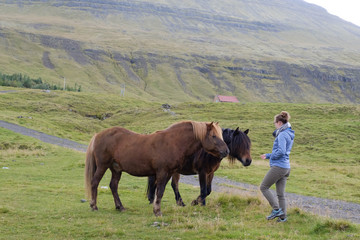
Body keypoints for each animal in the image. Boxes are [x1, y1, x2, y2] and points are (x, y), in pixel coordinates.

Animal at [84, 121, 228, 217]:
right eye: (214, 136)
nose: (226, 151)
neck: (172, 142)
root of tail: (98, 135)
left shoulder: (169, 173)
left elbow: (161, 191)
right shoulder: (162, 173)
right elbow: (160, 192)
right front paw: (157, 211)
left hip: (116, 169)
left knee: (113, 186)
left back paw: (120, 207)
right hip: (102, 166)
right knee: (95, 183)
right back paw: (94, 205)